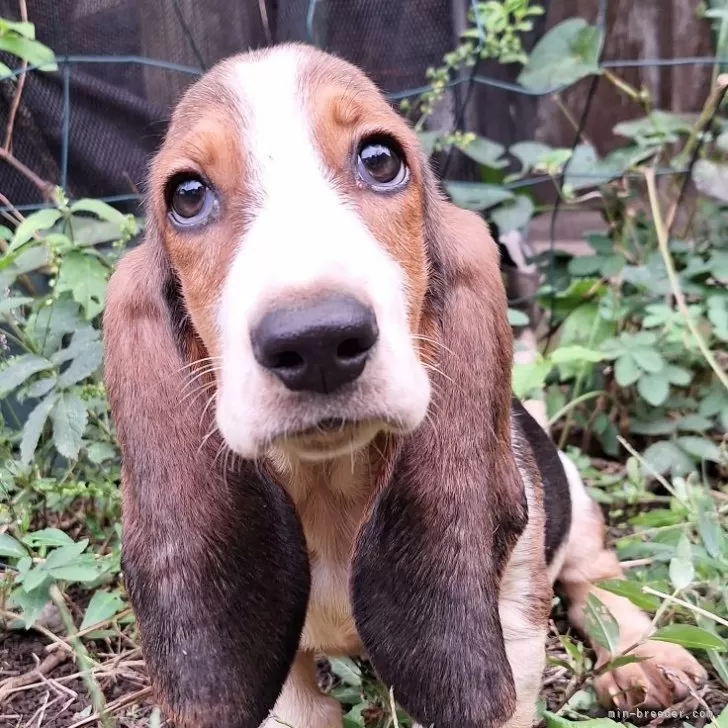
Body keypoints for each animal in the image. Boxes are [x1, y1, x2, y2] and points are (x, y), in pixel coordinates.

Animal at [102, 45, 704, 728]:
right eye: (186, 195)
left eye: (381, 159)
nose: (316, 342)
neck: (331, 492)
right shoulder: (284, 686)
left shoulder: (512, 634)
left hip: (572, 500)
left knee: (596, 575)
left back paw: (641, 655)